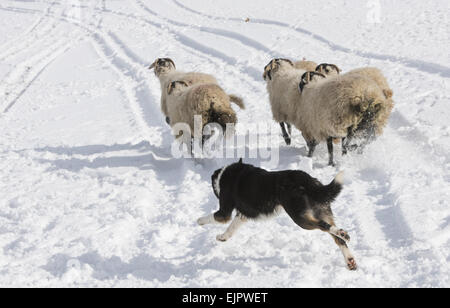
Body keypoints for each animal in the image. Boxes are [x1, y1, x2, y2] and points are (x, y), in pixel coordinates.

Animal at [199, 159, 356, 270]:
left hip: (299, 217)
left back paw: (342, 233)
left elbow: (211, 218)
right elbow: (231, 229)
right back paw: (350, 259)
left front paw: (199, 221)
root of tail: (307, 180)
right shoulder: (242, 215)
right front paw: (223, 237)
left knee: (324, 226)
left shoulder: (224, 212)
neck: (224, 174)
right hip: (320, 211)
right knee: (338, 239)